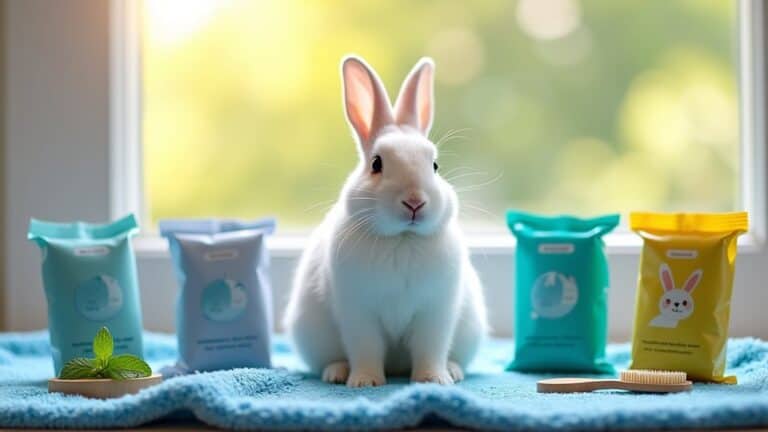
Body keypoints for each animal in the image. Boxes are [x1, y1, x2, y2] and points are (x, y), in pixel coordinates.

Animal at [283, 55, 488, 388]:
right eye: (376, 164)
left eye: (434, 166)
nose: (415, 202)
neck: (401, 239)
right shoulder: (358, 313)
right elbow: (366, 348)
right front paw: (365, 381)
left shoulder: (435, 312)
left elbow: (430, 349)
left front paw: (433, 380)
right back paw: (336, 373)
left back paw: (454, 370)